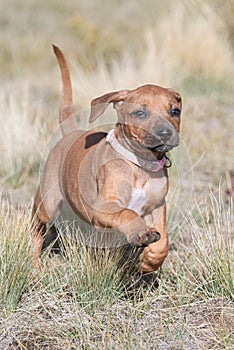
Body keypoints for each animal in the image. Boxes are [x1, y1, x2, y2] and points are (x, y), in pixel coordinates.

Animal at [31, 46, 182, 274]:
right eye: (140, 113)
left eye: (175, 111)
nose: (165, 133)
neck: (140, 166)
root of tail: (72, 133)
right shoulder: (105, 205)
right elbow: (128, 213)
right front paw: (142, 233)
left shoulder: (157, 207)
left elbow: (162, 241)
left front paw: (149, 261)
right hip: (46, 204)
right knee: (36, 229)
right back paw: (33, 262)